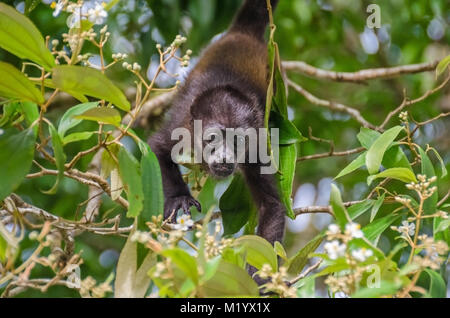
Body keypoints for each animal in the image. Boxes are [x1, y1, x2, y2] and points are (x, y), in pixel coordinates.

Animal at [150, 0, 284, 246]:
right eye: (212, 139)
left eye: (237, 141)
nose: (224, 158)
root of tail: (243, 33)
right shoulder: (182, 127)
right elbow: (158, 148)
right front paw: (179, 197)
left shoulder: (255, 148)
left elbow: (271, 205)